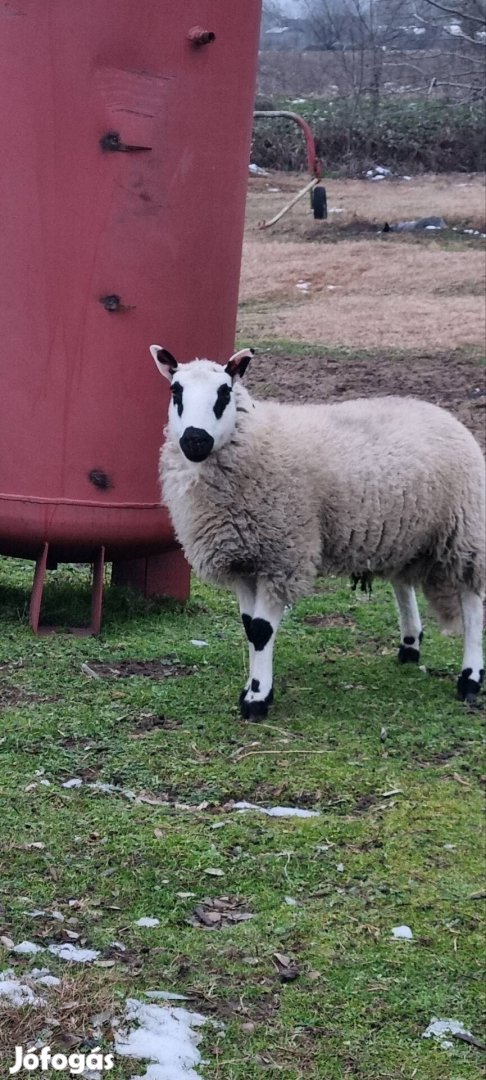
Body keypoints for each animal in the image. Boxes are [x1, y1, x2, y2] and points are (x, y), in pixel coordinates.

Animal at [150, 345, 483, 717]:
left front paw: (257, 699)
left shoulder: (282, 556)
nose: (195, 440)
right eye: (175, 391)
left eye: (224, 392)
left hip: (463, 532)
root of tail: (440, 411)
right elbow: (249, 627)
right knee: (403, 584)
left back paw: (470, 679)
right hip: (406, 532)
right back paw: (410, 645)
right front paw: (251, 688)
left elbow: (262, 631)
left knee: (472, 603)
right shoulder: (244, 560)